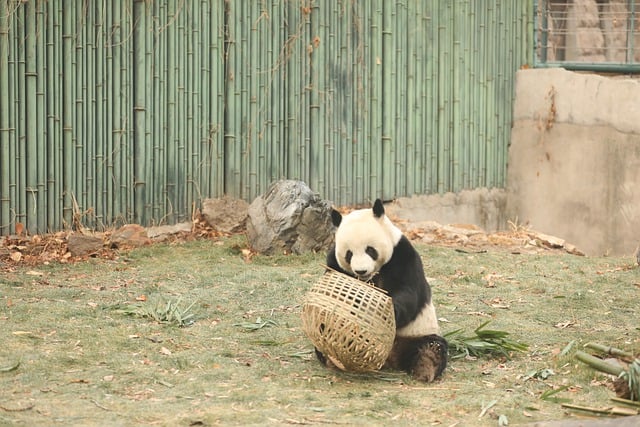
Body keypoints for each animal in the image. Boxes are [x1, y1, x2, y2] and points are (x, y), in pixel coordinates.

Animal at [318, 199, 444, 382]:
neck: (370, 277)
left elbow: (409, 292)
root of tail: (390, 358)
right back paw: (333, 357)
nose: (361, 271)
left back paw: (424, 369)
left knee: (432, 347)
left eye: (370, 250)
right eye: (349, 254)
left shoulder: (403, 255)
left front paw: (389, 310)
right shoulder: (333, 263)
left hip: (417, 334)